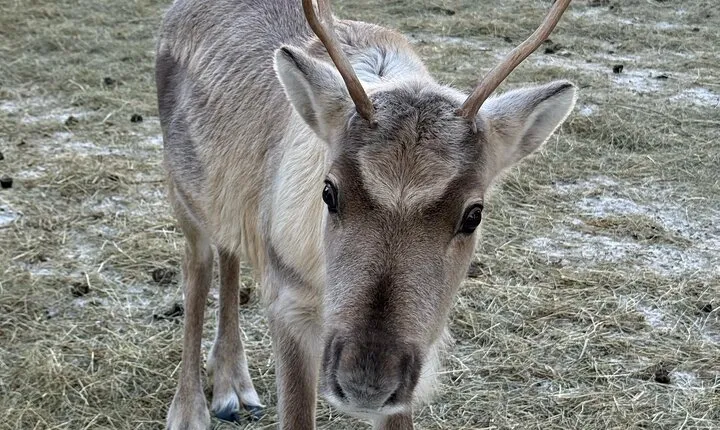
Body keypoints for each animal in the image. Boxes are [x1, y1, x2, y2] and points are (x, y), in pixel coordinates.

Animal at [155, 0, 575, 428]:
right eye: (328, 191)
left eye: (473, 215)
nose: (365, 382)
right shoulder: (287, 302)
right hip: (180, 191)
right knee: (197, 272)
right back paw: (189, 410)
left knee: (229, 253)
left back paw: (232, 384)